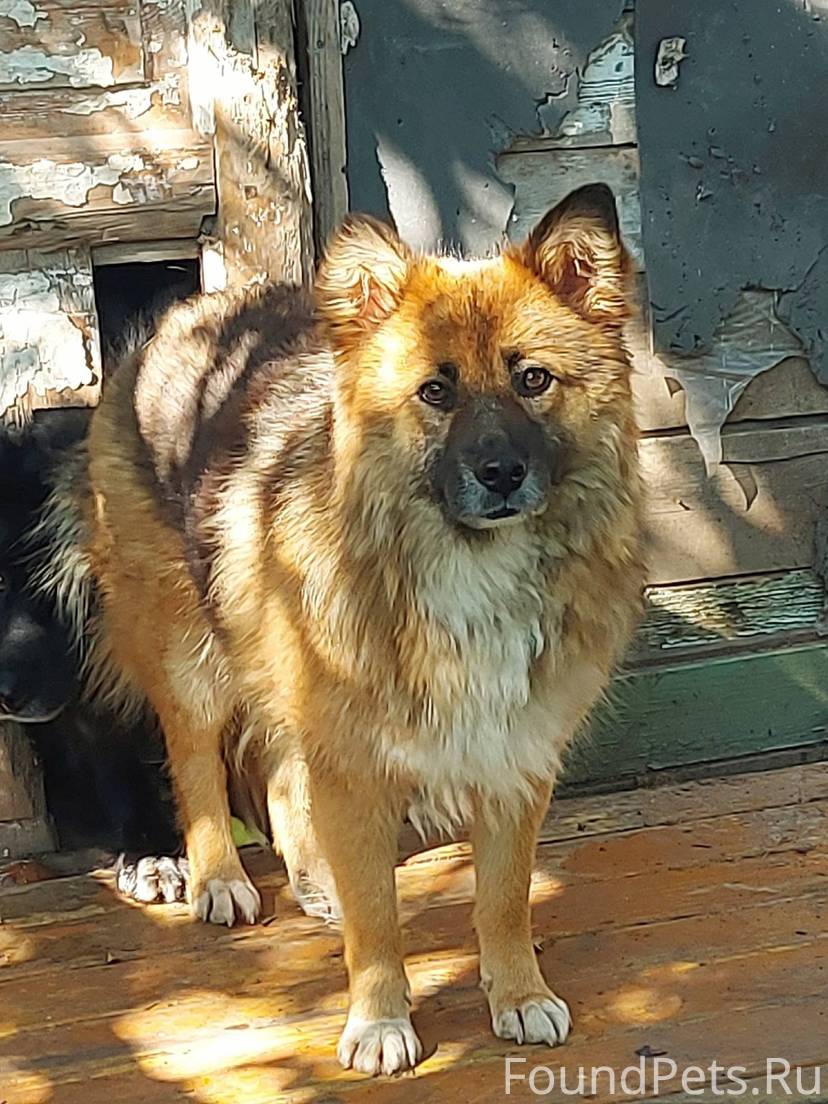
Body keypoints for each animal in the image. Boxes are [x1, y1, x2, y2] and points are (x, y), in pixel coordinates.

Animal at [41, 183, 645, 1075]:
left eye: (533, 379)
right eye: (435, 392)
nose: (501, 474)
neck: (465, 566)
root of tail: (189, 314)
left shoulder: (512, 756)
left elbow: (504, 901)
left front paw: (517, 994)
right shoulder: (356, 762)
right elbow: (379, 918)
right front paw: (380, 1020)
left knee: (280, 773)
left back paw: (312, 878)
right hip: (190, 655)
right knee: (197, 763)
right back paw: (218, 877)